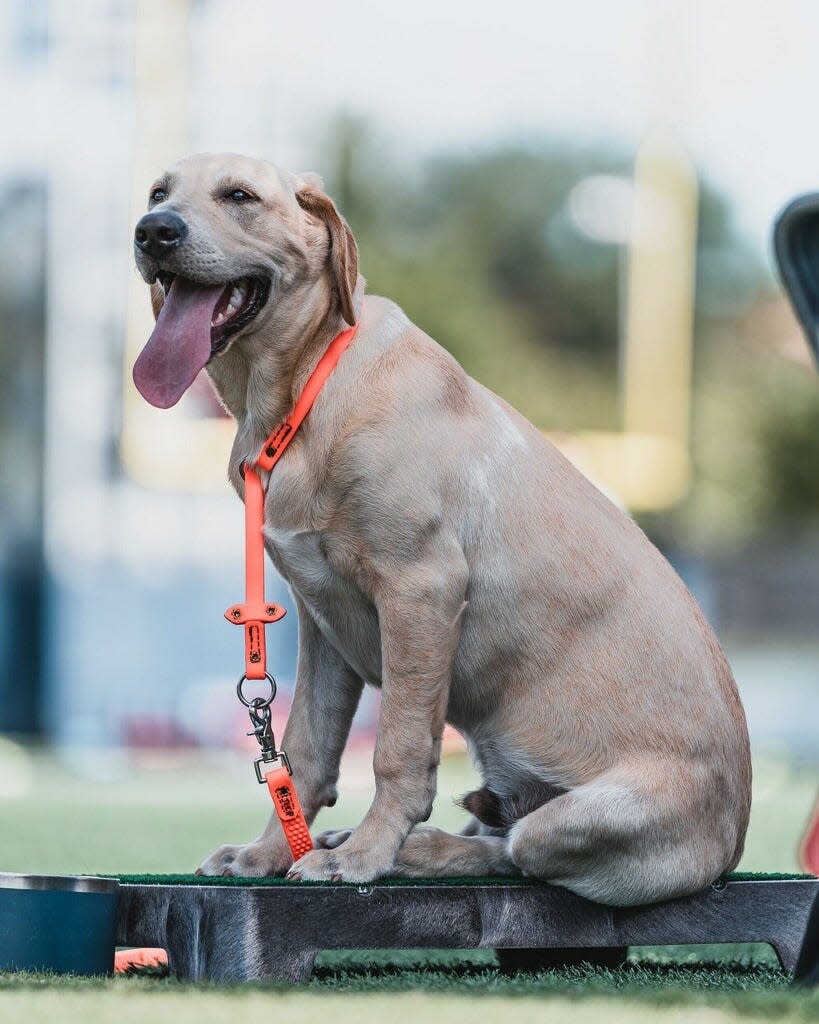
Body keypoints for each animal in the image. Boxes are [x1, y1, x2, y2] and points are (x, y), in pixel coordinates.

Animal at [133, 149, 749, 905]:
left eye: (240, 196)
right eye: (158, 192)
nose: (154, 231)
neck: (308, 390)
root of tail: (730, 847)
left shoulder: (420, 589)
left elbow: (397, 751)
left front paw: (364, 856)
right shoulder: (320, 621)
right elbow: (304, 752)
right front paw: (272, 852)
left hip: (585, 815)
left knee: (513, 851)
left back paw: (407, 852)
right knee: (494, 833)